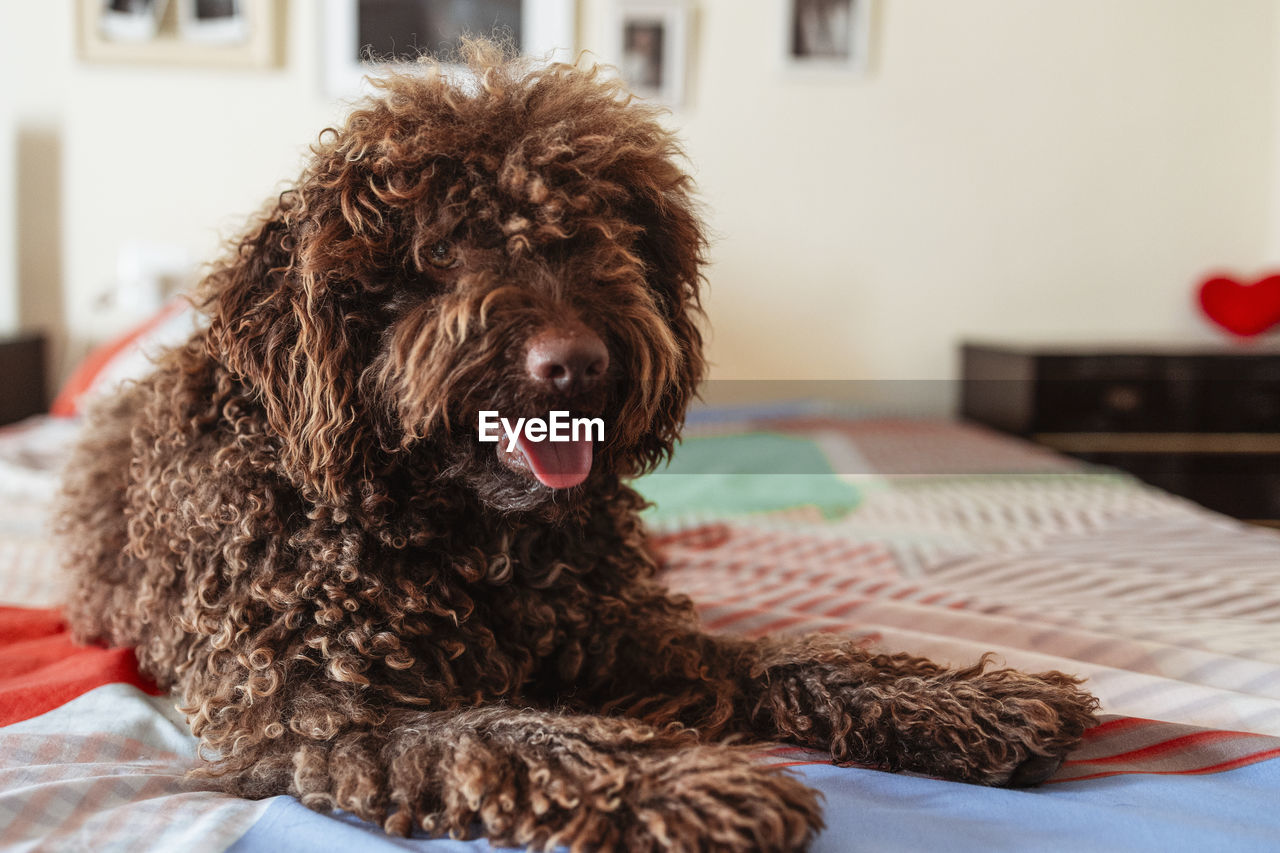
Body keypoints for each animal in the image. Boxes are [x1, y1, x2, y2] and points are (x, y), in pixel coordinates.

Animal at [57, 44, 1100, 850]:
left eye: (600, 233)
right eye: (443, 251)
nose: (577, 362)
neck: (465, 539)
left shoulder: (617, 636)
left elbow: (779, 656)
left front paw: (959, 703)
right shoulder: (319, 714)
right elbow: (519, 736)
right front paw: (693, 784)